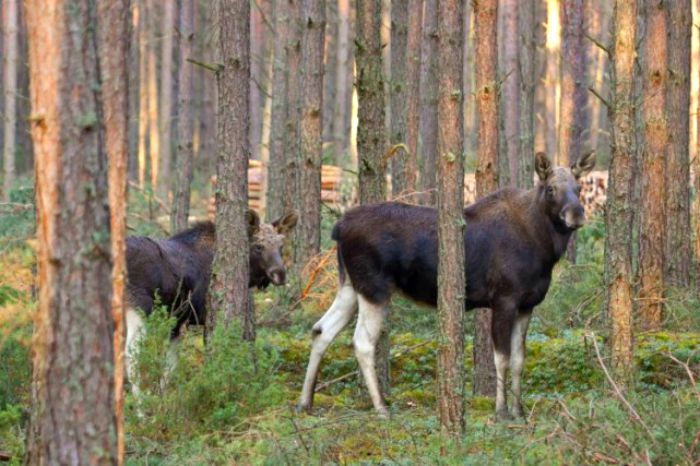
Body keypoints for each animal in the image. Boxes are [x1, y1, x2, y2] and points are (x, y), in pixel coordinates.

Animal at [296, 152, 596, 418]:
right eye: (551, 188)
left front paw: (519, 410)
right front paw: (501, 411)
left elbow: (520, 360)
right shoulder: (504, 299)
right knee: (362, 342)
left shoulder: (527, 305)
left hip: (350, 286)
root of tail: (339, 228)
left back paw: (305, 402)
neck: (543, 248)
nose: (577, 214)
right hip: (375, 288)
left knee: (321, 330)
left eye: (579, 187)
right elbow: (502, 358)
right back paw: (381, 407)